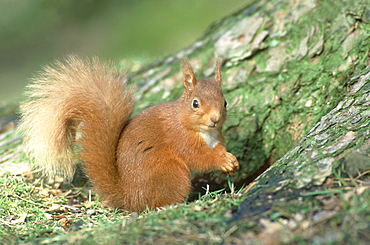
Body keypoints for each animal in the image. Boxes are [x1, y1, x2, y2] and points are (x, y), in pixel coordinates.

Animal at [19, 56, 240, 212]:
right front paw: (221, 161)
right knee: (157, 204)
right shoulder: (180, 138)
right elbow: (199, 158)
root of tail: (129, 198)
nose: (215, 119)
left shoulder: (217, 137)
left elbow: (219, 148)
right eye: (195, 103)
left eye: (225, 102)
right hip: (171, 174)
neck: (204, 132)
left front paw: (231, 159)